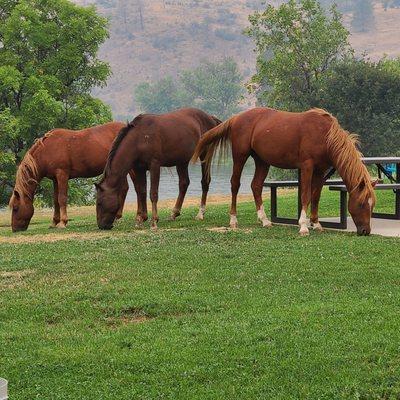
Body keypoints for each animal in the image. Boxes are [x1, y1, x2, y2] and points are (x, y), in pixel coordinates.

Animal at [95, 108, 223, 230]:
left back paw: (200, 213)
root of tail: (210, 117)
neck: (139, 138)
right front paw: (141, 219)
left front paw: (154, 221)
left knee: (205, 182)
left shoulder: (154, 166)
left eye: (99, 202)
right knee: (184, 183)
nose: (102, 226)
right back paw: (174, 213)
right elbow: (142, 191)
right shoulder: (139, 169)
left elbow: (153, 193)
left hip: (205, 155)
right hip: (182, 162)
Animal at [192, 108, 376, 236]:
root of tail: (236, 118)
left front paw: (316, 224)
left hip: (262, 161)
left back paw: (265, 220)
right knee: (235, 184)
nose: (366, 231)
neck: (325, 135)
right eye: (361, 203)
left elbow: (316, 196)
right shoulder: (307, 167)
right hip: (240, 156)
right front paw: (303, 226)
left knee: (256, 186)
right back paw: (233, 220)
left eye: (372, 205)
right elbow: (305, 195)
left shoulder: (320, 170)